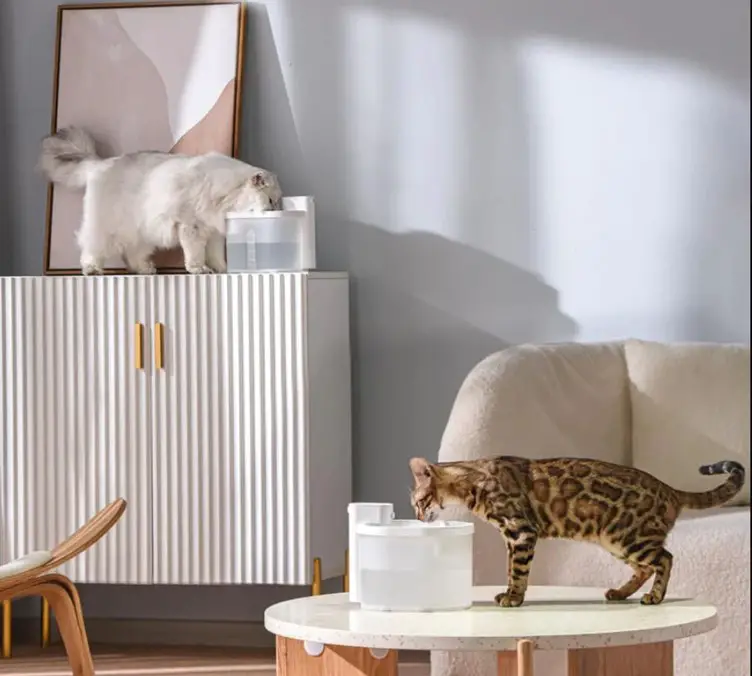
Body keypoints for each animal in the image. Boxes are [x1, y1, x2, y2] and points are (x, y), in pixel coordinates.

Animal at [38, 125, 280, 274]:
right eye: (270, 201)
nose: (274, 211)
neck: (227, 191)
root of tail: (101, 163)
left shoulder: (213, 233)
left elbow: (216, 255)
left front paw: (222, 269)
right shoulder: (192, 227)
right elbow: (196, 254)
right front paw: (199, 269)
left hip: (141, 233)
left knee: (133, 254)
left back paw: (145, 269)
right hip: (105, 228)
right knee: (90, 247)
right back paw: (92, 269)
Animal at [408, 456, 744, 608]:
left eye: (419, 502)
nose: (419, 518)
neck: (475, 481)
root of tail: (670, 490)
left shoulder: (521, 532)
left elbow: (518, 571)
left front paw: (514, 597)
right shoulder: (511, 537)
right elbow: (510, 570)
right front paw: (510, 593)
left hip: (629, 537)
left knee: (665, 558)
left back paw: (655, 597)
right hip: (616, 540)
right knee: (646, 567)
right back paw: (621, 593)